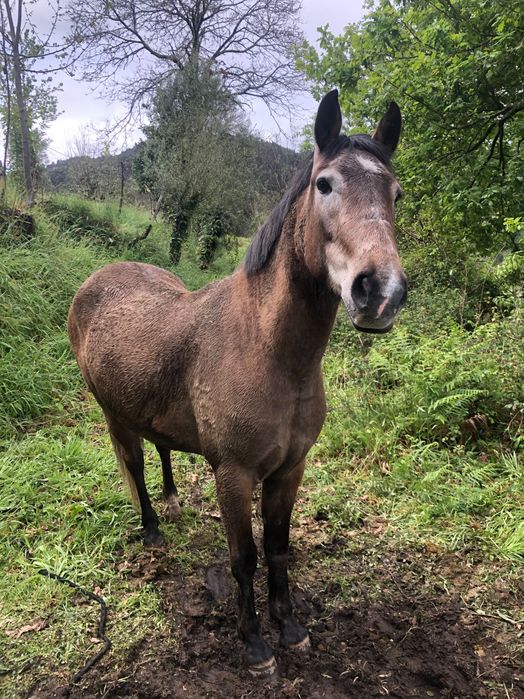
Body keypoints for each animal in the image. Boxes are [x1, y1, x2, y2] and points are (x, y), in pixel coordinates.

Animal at [68, 89, 407, 678]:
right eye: (325, 184)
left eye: (396, 193)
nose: (380, 291)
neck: (269, 353)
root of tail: (96, 282)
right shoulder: (234, 474)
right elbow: (244, 557)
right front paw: (254, 645)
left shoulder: (290, 469)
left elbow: (278, 548)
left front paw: (290, 628)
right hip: (113, 414)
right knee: (134, 464)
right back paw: (153, 528)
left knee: (160, 449)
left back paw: (173, 503)